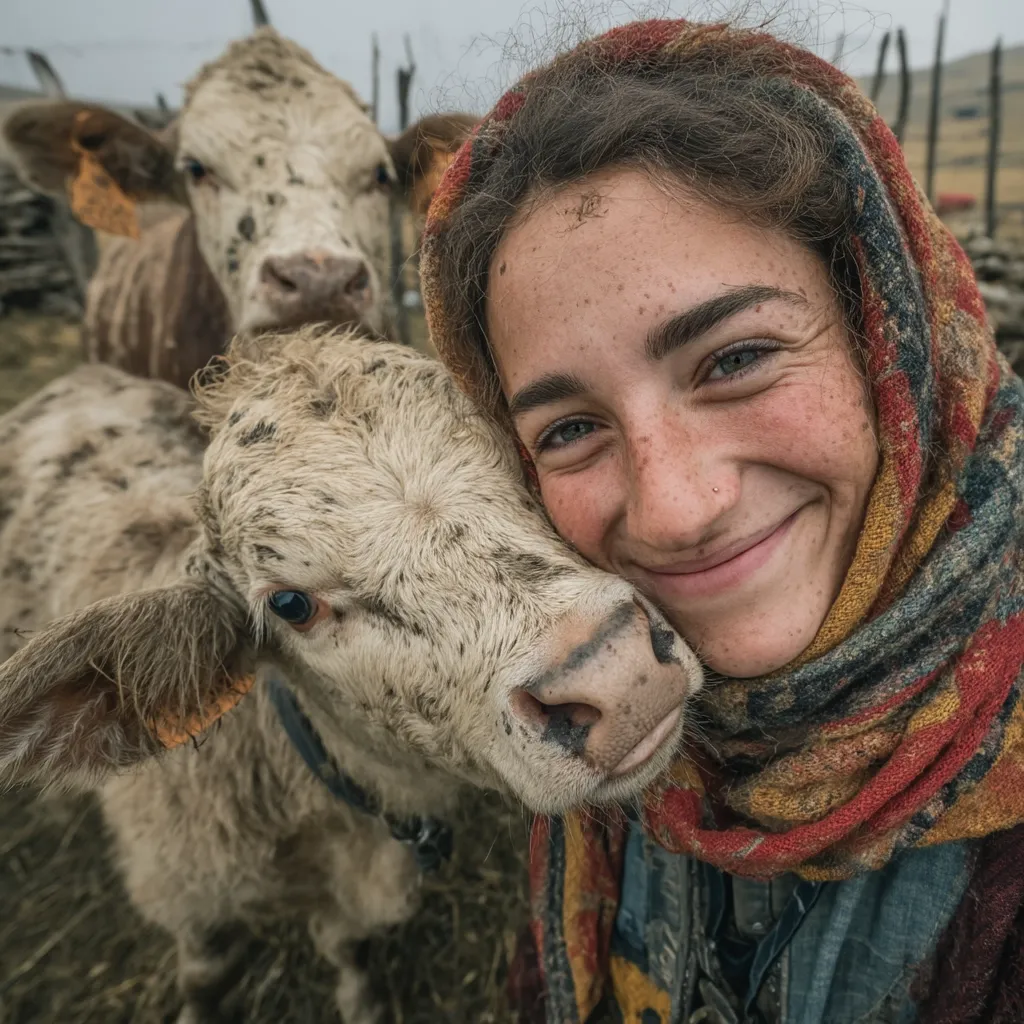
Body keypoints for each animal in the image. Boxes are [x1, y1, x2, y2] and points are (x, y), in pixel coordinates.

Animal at [0, 327, 701, 1024]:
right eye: (290, 604)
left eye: (515, 453)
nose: (615, 669)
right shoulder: (188, 901)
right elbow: (204, 978)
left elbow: (349, 949)